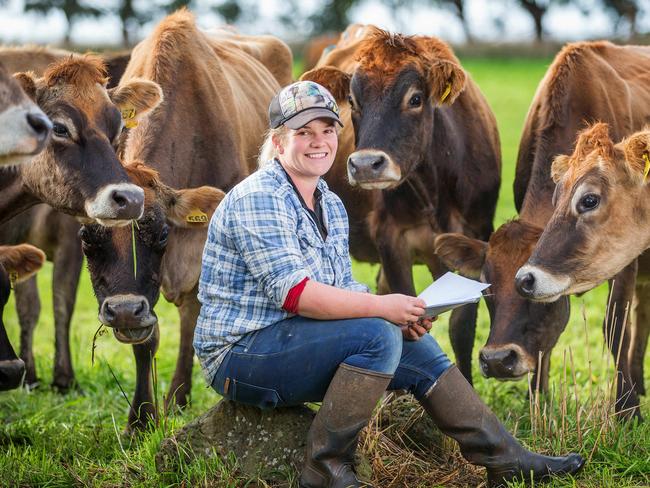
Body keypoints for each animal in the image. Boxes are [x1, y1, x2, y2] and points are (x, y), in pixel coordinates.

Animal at [76, 9, 292, 430]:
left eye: (162, 235)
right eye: (88, 238)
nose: (122, 310)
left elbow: (196, 318)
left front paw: (177, 398)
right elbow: (147, 339)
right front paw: (141, 418)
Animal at [300, 24, 502, 382]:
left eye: (415, 99)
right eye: (352, 100)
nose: (366, 164)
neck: (433, 192)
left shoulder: (475, 236)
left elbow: (461, 326)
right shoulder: (391, 238)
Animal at [430, 42, 650, 420]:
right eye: (486, 288)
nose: (498, 360)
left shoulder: (624, 260)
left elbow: (615, 328)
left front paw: (627, 409)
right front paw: (538, 401)